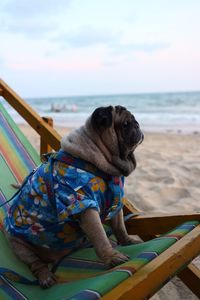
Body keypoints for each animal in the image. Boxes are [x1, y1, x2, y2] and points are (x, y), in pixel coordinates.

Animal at [3, 105, 144, 288]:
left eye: (133, 120)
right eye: (125, 124)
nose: (137, 124)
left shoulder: (117, 203)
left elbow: (120, 226)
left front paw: (127, 241)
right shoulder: (84, 206)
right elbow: (101, 237)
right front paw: (112, 257)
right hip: (19, 245)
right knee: (36, 263)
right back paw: (45, 276)